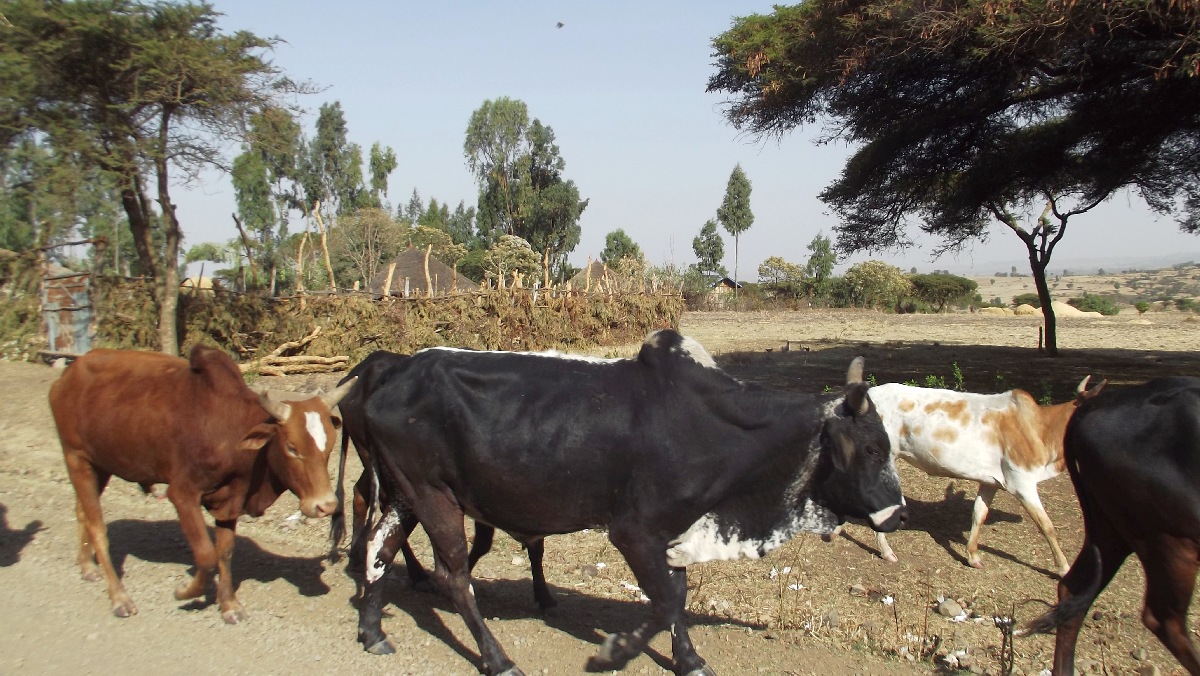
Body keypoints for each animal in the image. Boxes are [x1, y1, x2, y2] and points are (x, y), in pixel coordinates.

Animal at [51, 348, 350, 624]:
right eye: (292, 447)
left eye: (329, 446)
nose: (325, 505)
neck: (228, 430)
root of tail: (68, 375)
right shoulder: (182, 494)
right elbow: (206, 555)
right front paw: (186, 591)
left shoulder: (230, 502)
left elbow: (225, 552)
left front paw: (229, 605)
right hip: (75, 457)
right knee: (98, 527)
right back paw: (119, 598)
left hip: (98, 465)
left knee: (82, 512)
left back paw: (87, 566)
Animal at [350, 331, 902, 672]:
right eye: (873, 449)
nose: (898, 514)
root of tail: (394, 370)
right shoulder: (634, 533)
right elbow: (667, 601)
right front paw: (612, 654)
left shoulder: (674, 533)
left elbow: (677, 596)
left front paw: (690, 661)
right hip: (433, 497)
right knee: (454, 576)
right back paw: (498, 659)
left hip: (406, 495)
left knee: (379, 550)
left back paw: (372, 630)